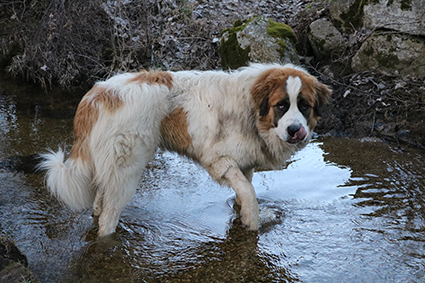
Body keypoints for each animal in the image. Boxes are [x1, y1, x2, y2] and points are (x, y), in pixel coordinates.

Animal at [39, 63, 332, 237]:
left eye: (304, 105)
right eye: (281, 105)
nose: (295, 129)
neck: (250, 110)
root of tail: (95, 96)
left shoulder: (243, 161)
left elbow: (245, 188)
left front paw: (242, 211)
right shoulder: (218, 159)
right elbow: (248, 190)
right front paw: (253, 221)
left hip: (112, 168)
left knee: (100, 202)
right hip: (127, 171)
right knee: (109, 215)